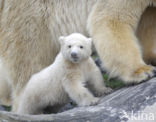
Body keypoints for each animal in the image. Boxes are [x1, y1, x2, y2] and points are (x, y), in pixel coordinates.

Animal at [0, 0, 156, 111]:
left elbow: (147, 21)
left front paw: (151, 57)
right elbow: (110, 19)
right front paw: (142, 71)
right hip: (30, 21)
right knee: (29, 64)